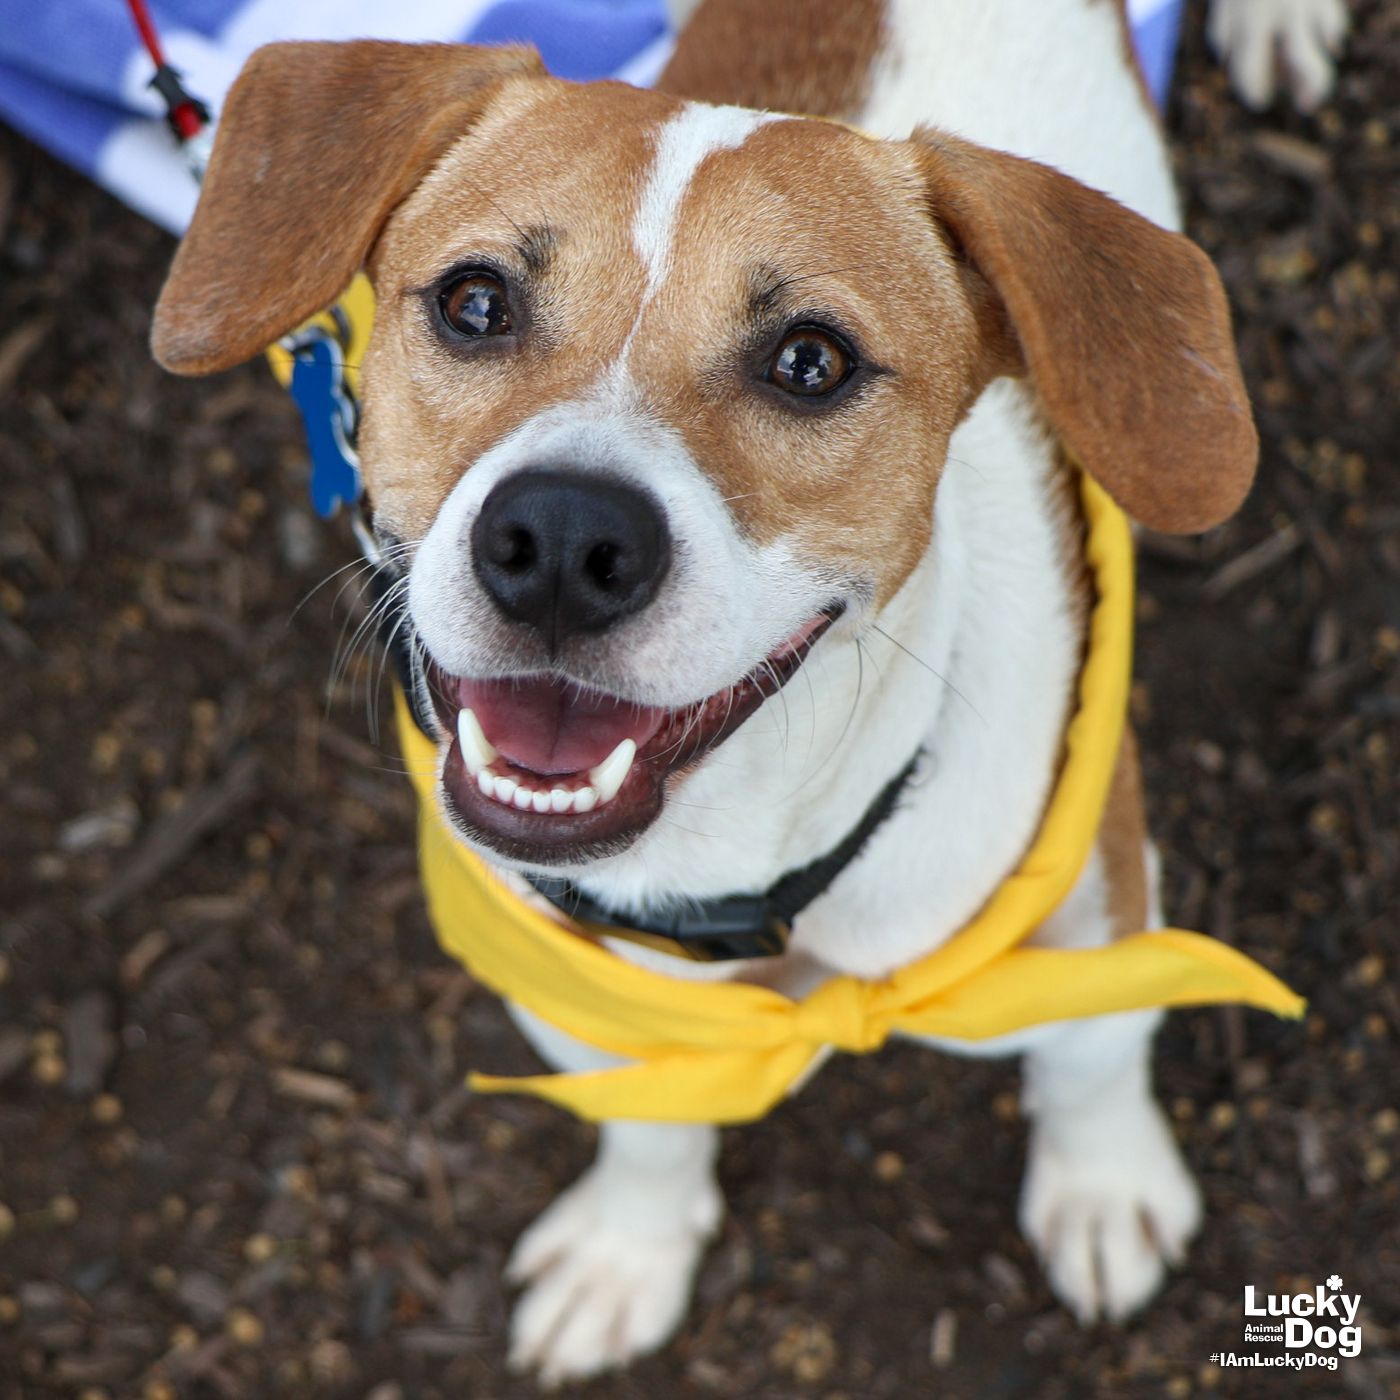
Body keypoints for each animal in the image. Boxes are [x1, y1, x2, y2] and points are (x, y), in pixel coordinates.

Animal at [156, 0, 1271, 1377]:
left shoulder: (1100, 909)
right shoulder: (601, 1007)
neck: (761, 863)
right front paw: (627, 1248)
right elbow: (647, 1125)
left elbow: (1092, 1054)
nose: (562, 539)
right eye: (474, 302)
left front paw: (1104, 1185)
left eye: (809, 360)